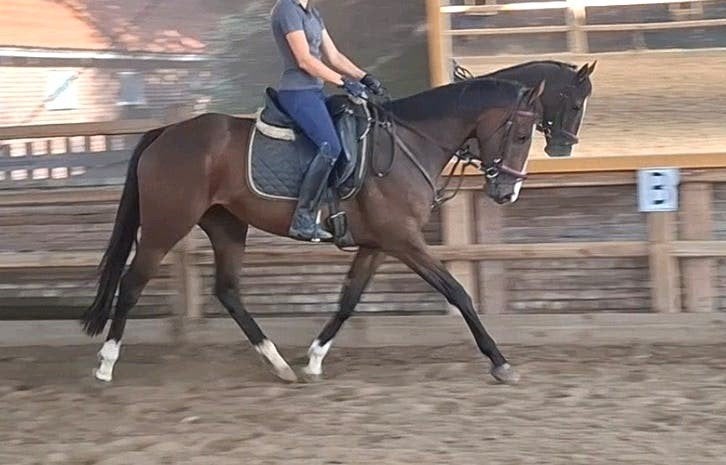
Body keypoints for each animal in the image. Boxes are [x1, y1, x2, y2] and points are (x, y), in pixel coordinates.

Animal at [81, 77, 544, 385]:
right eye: (522, 133)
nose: (508, 192)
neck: (408, 145)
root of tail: (167, 133)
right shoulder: (405, 241)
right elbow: (458, 293)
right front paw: (500, 362)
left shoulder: (378, 244)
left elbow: (348, 300)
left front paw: (315, 358)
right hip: (167, 224)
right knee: (132, 284)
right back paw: (105, 363)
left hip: (226, 225)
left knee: (228, 291)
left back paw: (279, 365)